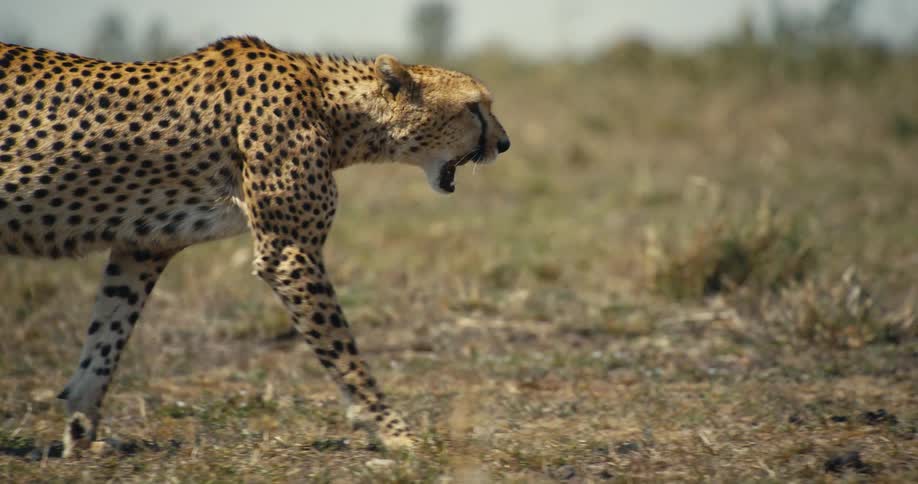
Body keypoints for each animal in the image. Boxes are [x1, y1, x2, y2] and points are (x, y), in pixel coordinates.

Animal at [0, 36, 510, 455]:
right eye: (474, 108)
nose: (504, 144)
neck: (334, 109)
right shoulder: (290, 252)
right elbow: (345, 355)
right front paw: (392, 431)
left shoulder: (142, 246)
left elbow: (106, 339)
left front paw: (81, 434)